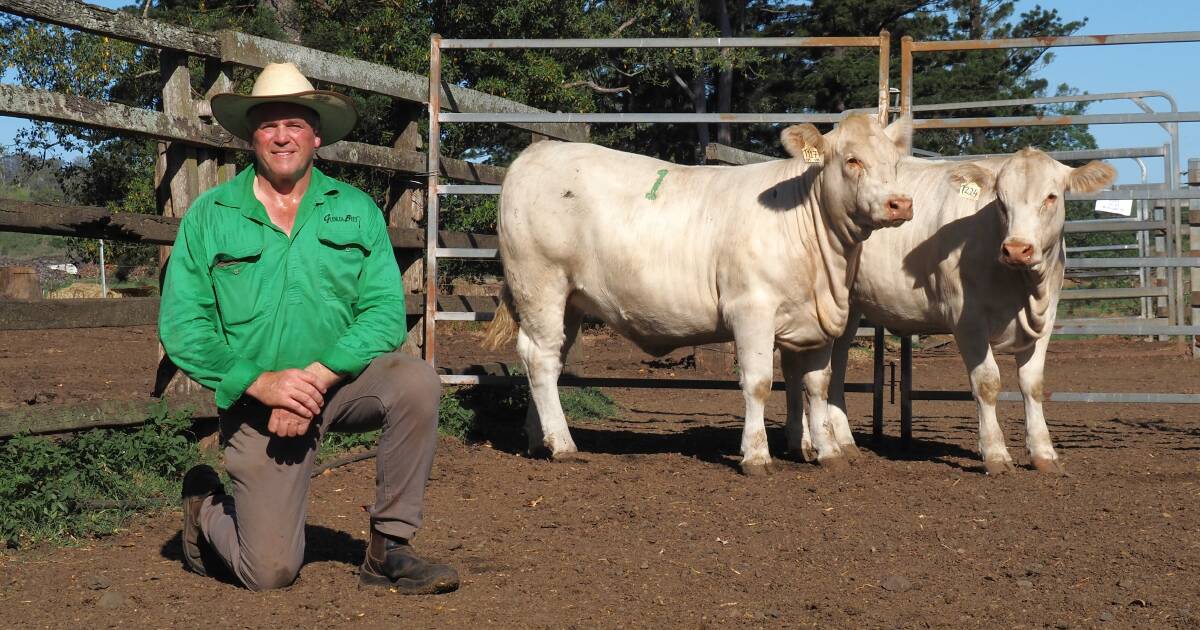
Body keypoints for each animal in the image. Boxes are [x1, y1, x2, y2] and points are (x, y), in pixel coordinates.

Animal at [482, 115, 912, 475]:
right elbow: (759, 382)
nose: (901, 203)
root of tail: (534, 154)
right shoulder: (751, 308)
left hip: (569, 299)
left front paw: (828, 453)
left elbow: (817, 385)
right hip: (540, 284)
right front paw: (756, 456)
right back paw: (562, 444)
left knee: (548, 358)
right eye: (853, 160)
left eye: (895, 162)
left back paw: (539, 440)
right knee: (539, 357)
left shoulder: (818, 321)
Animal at [792, 147, 1118, 470]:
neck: (1023, 288)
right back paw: (812, 444)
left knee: (833, 366)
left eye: (1051, 197)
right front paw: (995, 454)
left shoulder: (1046, 318)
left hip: (846, 309)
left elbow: (1032, 384)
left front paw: (1044, 454)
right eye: (1001, 201)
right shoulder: (967, 319)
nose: (1016, 249)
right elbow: (987, 382)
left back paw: (839, 444)